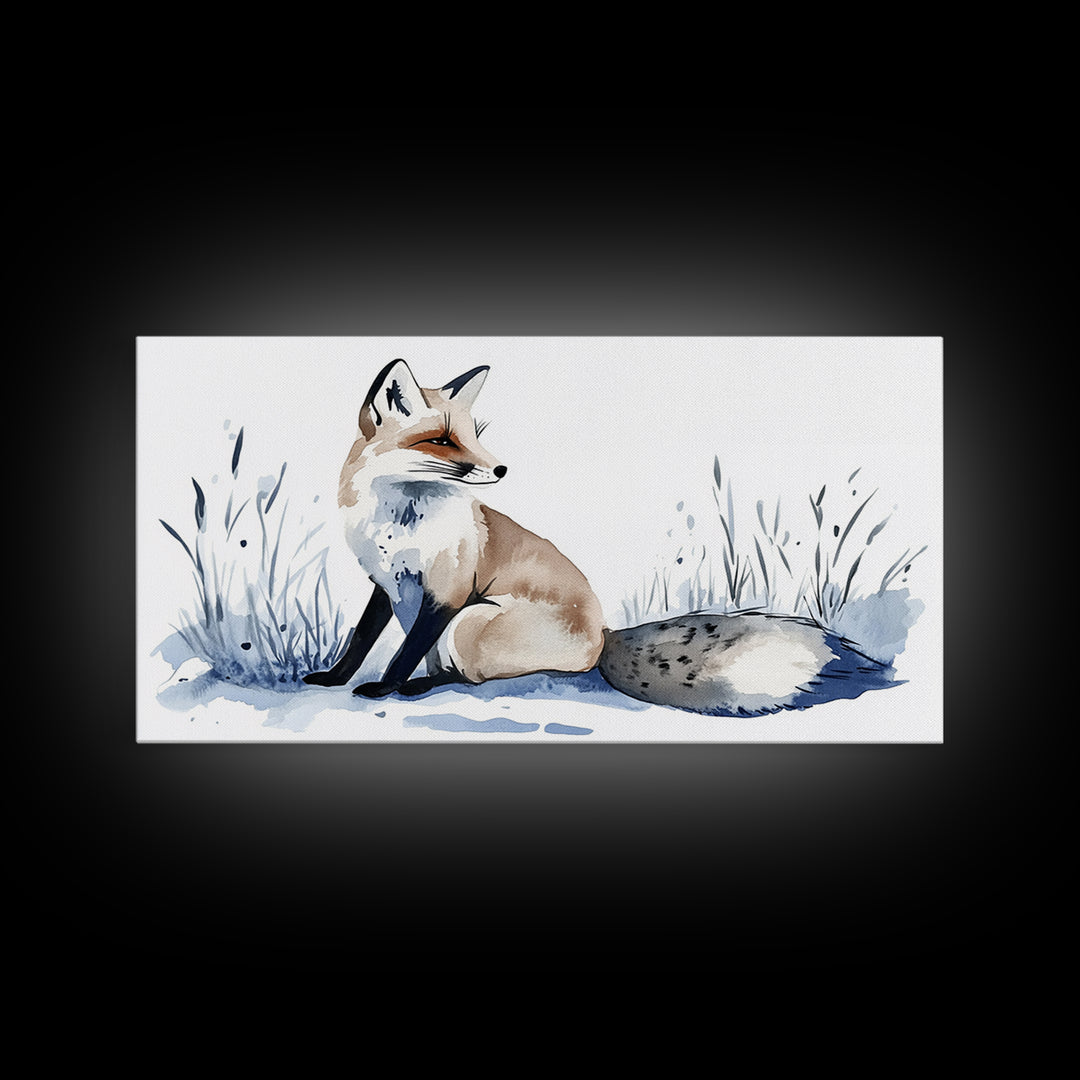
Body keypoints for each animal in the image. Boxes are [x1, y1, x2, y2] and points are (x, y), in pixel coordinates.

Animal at [303, 359, 892, 715]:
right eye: (443, 441)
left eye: (475, 436)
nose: (500, 470)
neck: (397, 524)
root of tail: (605, 637)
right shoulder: (387, 585)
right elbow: (361, 640)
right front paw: (335, 678)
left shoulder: (446, 594)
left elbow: (404, 651)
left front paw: (385, 687)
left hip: (470, 621)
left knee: (469, 678)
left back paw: (421, 686)